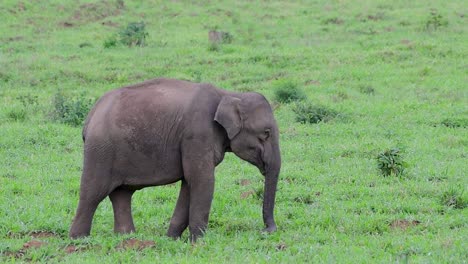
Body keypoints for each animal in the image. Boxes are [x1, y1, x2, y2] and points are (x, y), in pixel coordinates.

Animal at [69, 77, 282, 240]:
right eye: (266, 133)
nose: (266, 231)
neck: (229, 94)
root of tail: (89, 118)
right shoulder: (197, 135)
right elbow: (202, 180)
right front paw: (198, 241)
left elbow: (189, 183)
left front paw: (172, 238)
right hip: (100, 151)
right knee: (93, 192)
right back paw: (79, 240)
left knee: (121, 193)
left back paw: (126, 237)